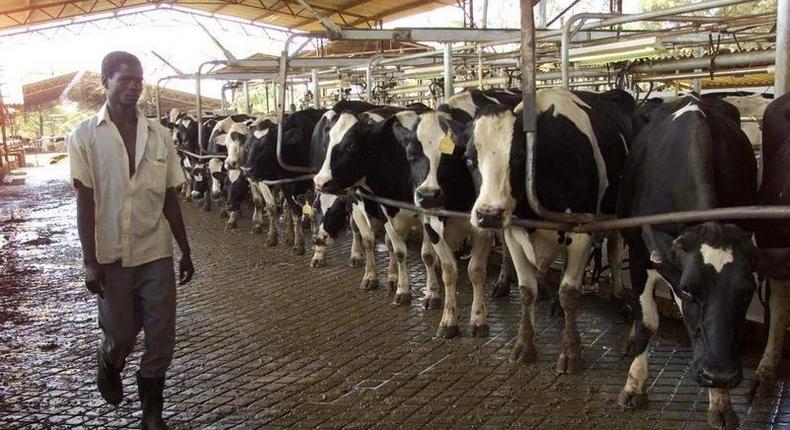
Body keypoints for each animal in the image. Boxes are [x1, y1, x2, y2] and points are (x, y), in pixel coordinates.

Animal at [470, 88, 636, 370]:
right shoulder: (514, 232)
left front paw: (571, 353)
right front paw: (524, 347)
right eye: (470, 159)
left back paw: (619, 300)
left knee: (614, 254)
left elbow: (570, 291)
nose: (487, 215)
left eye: (518, 156)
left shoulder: (581, 230)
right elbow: (527, 291)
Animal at [620, 95, 760, 430]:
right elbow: (647, 322)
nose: (719, 374)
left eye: (747, 292)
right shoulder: (638, 253)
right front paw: (634, 386)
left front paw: (721, 402)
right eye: (688, 290)